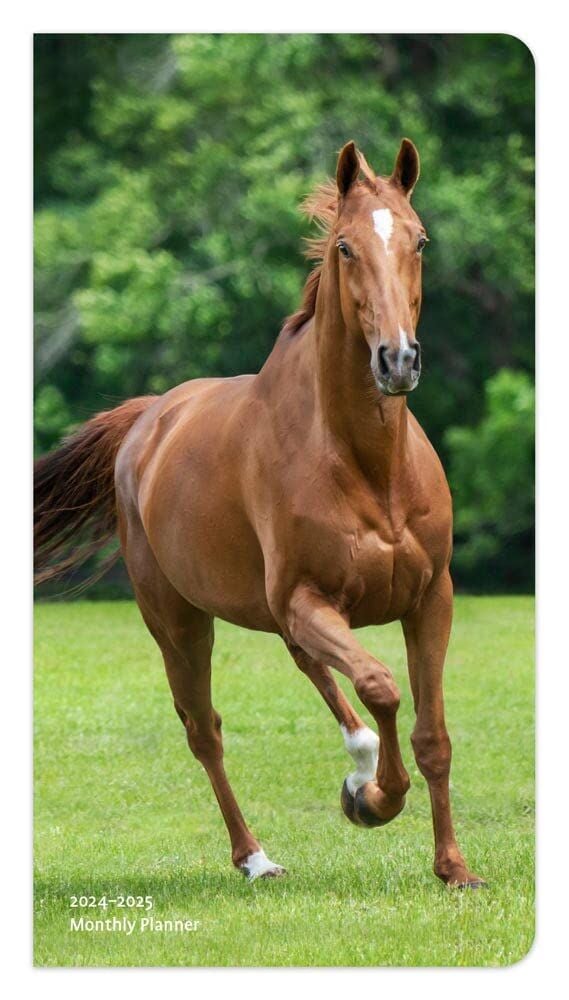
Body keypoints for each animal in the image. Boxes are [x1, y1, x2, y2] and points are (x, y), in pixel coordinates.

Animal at [35, 139, 486, 888]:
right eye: (344, 247)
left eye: (419, 240)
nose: (397, 360)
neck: (367, 465)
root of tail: (148, 419)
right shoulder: (308, 600)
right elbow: (379, 685)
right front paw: (374, 800)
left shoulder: (430, 599)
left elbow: (432, 735)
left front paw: (452, 868)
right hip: (181, 623)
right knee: (205, 729)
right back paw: (256, 856)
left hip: (277, 614)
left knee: (311, 674)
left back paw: (353, 770)